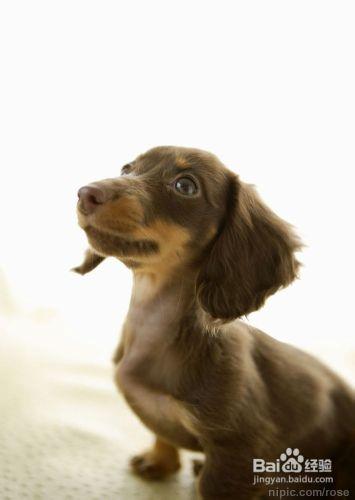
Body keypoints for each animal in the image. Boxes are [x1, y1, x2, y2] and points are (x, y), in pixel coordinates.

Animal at [73, 146, 354, 498]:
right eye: (126, 168)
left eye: (185, 186)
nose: (85, 193)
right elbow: (163, 435)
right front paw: (160, 460)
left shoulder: (239, 448)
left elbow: (212, 484)